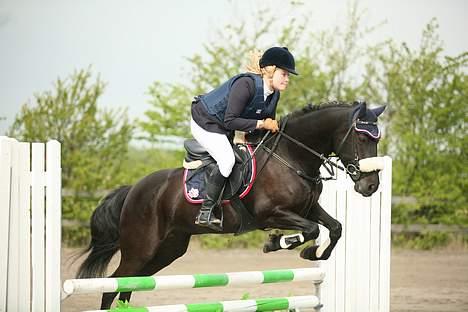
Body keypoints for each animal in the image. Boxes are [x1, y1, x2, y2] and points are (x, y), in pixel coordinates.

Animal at [77, 101, 388, 308]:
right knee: (112, 285)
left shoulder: (308, 209)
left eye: (377, 138)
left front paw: (313, 254)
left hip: (168, 249)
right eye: (362, 137)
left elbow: (335, 227)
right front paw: (278, 244)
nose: (370, 187)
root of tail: (133, 190)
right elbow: (310, 230)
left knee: (129, 286)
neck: (293, 157)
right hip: (140, 249)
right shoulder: (271, 214)